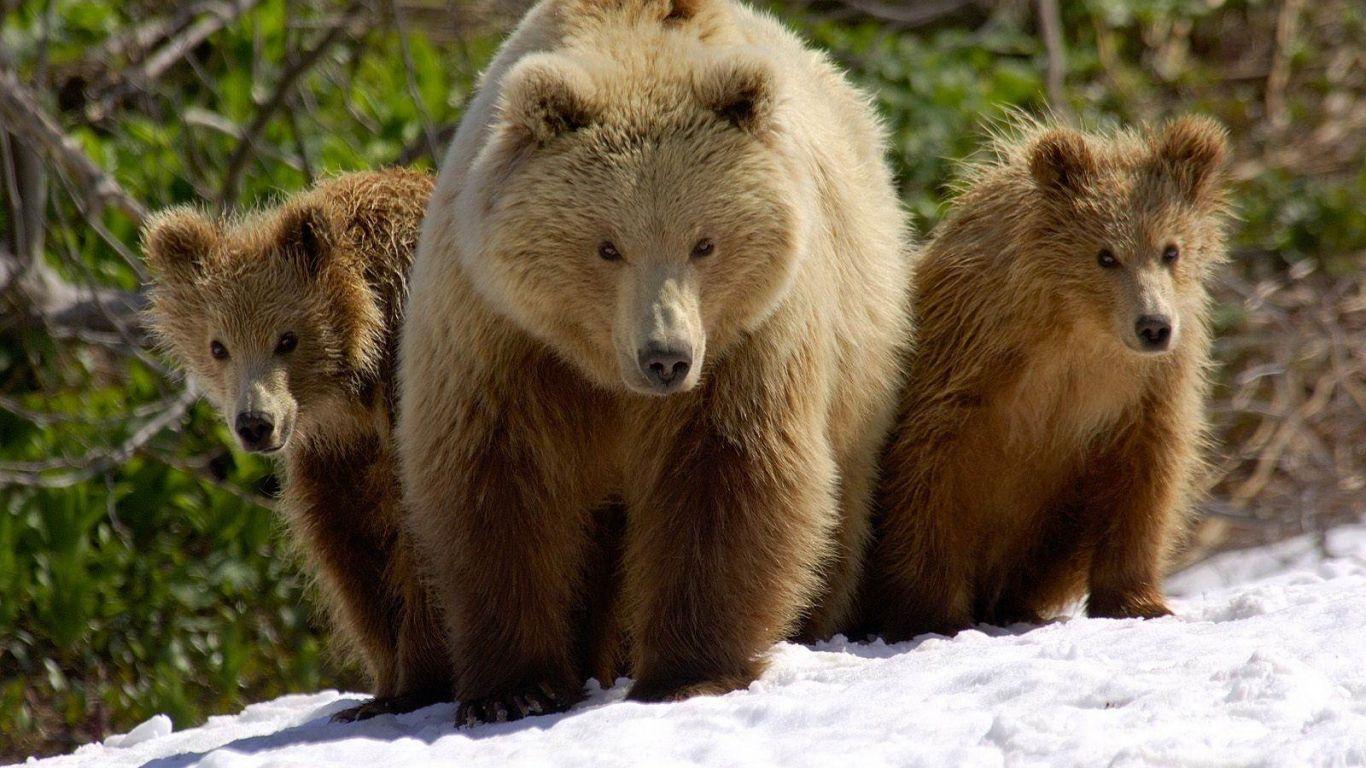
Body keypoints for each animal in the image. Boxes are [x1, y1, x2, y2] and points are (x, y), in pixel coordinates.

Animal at [141, 169, 450, 721]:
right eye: (218, 346)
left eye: (287, 339)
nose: (255, 423)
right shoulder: (336, 454)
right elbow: (349, 547)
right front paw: (380, 688)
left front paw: (418, 683)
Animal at [398, 0, 912, 725]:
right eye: (607, 246)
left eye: (704, 242)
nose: (664, 356)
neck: (604, 371)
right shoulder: (502, 337)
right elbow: (499, 485)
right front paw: (514, 689)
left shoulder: (747, 342)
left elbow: (724, 475)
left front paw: (688, 673)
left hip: (859, 356)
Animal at [864, 115, 1230, 641]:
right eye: (1105, 255)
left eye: (1171, 250)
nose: (1154, 326)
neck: (1078, 330)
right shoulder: (967, 365)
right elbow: (927, 476)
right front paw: (932, 615)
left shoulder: (1145, 390)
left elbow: (1146, 479)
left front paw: (1138, 601)